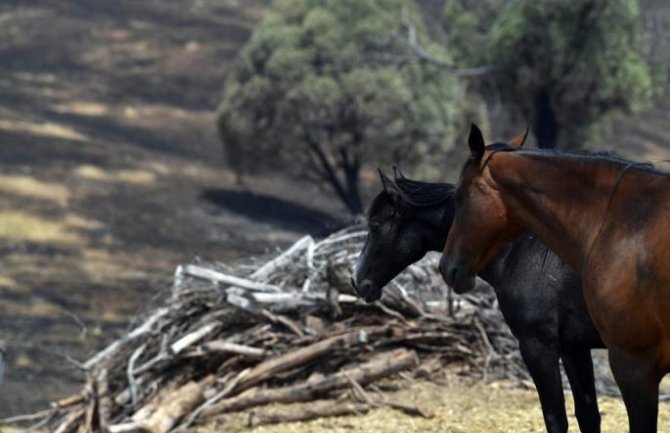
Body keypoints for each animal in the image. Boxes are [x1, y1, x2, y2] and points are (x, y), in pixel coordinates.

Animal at [354, 168, 608, 432]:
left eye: (375, 224)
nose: (356, 279)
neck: (524, 253)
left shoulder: (538, 346)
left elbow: (556, 418)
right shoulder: (574, 349)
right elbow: (588, 415)